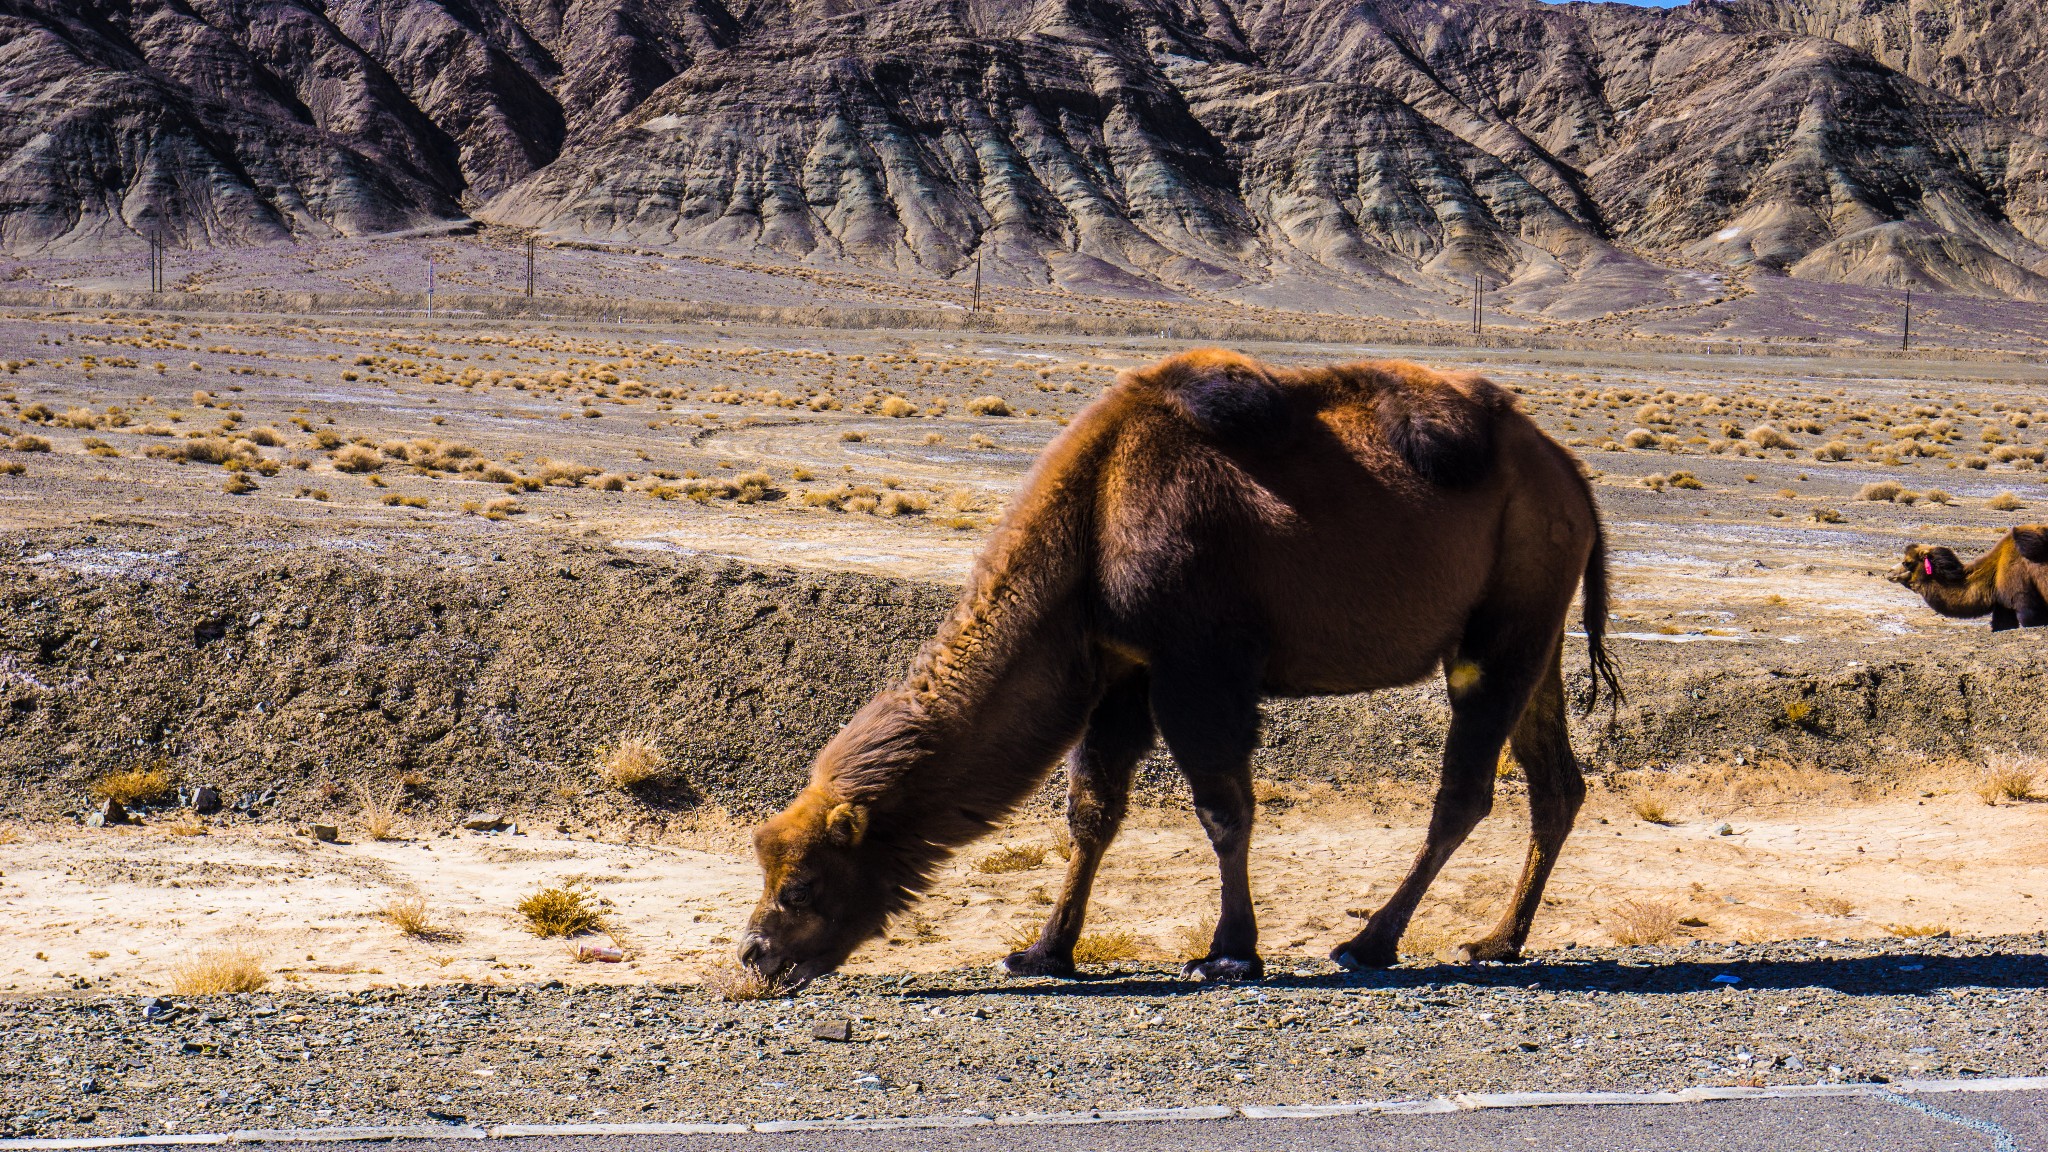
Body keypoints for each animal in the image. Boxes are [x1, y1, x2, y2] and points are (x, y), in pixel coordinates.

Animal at [737, 344, 1613, 983]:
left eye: (802, 884)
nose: (756, 956)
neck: (1093, 517)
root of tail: (1571, 476)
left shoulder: (1199, 665)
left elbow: (1224, 809)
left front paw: (1230, 952)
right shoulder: (1124, 668)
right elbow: (1092, 810)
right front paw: (1043, 951)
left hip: (1502, 631)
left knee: (1464, 793)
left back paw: (1369, 944)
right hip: (1531, 637)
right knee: (1556, 785)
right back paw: (1497, 939)